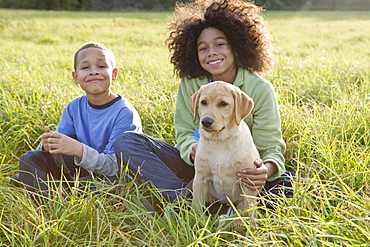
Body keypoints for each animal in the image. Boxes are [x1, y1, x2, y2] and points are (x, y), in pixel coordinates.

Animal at [191, 81, 260, 224]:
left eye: (223, 103)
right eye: (203, 102)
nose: (206, 121)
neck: (220, 141)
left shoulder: (248, 180)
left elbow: (250, 210)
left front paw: (251, 227)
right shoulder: (200, 177)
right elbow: (197, 204)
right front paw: (197, 223)